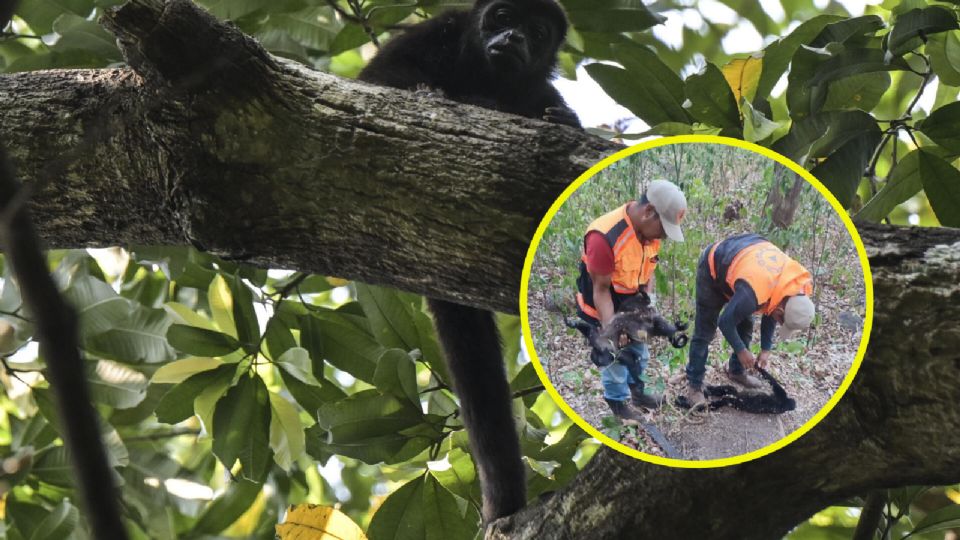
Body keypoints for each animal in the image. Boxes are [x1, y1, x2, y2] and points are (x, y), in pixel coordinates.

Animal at [354, 0, 576, 524]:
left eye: (538, 32)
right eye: (502, 16)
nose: (513, 37)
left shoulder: (541, 88)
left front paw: (558, 121)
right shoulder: (436, 31)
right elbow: (378, 80)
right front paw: (432, 93)